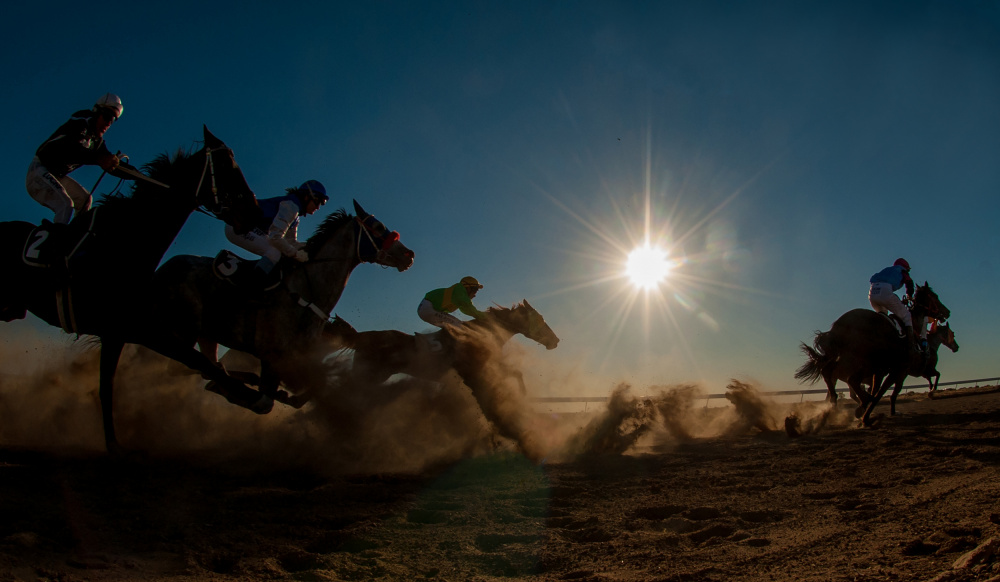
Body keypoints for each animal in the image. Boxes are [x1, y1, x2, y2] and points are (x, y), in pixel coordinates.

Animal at [0, 126, 266, 456]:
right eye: (228, 167)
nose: (256, 214)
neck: (124, 245)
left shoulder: (127, 331)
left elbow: (117, 382)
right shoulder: (135, 329)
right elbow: (195, 363)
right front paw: (253, 396)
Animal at [149, 201, 414, 410]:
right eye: (377, 227)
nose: (409, 254)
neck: (306, 292)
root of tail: (162, 269)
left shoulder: (296, 362)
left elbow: (306, 393)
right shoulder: (273, 358)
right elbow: (266, 401)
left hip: (205, 334)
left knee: (202, 365)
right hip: (181, 329)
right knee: (186, 362)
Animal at [792, 282, 948, 424]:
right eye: (935, 296)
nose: (947, 311)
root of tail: (838, 326)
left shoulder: (882, 370)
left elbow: (877, 389)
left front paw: (865, 411)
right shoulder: (898, 370)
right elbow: (881, 392)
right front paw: (866, 415)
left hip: (844, 358)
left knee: (828, 372)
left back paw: (834, 404)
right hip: (864, 361)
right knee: (851, 380)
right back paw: (860, 403)